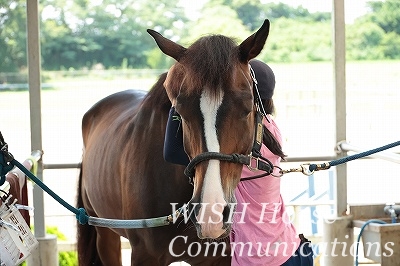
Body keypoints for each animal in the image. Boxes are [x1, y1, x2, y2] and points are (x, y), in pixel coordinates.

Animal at [77, 19, 272, 264]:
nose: (211, 212)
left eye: (247, 107)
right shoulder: (144, 255)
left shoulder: (217, 257)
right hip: (104, 232)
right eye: (181, 111)